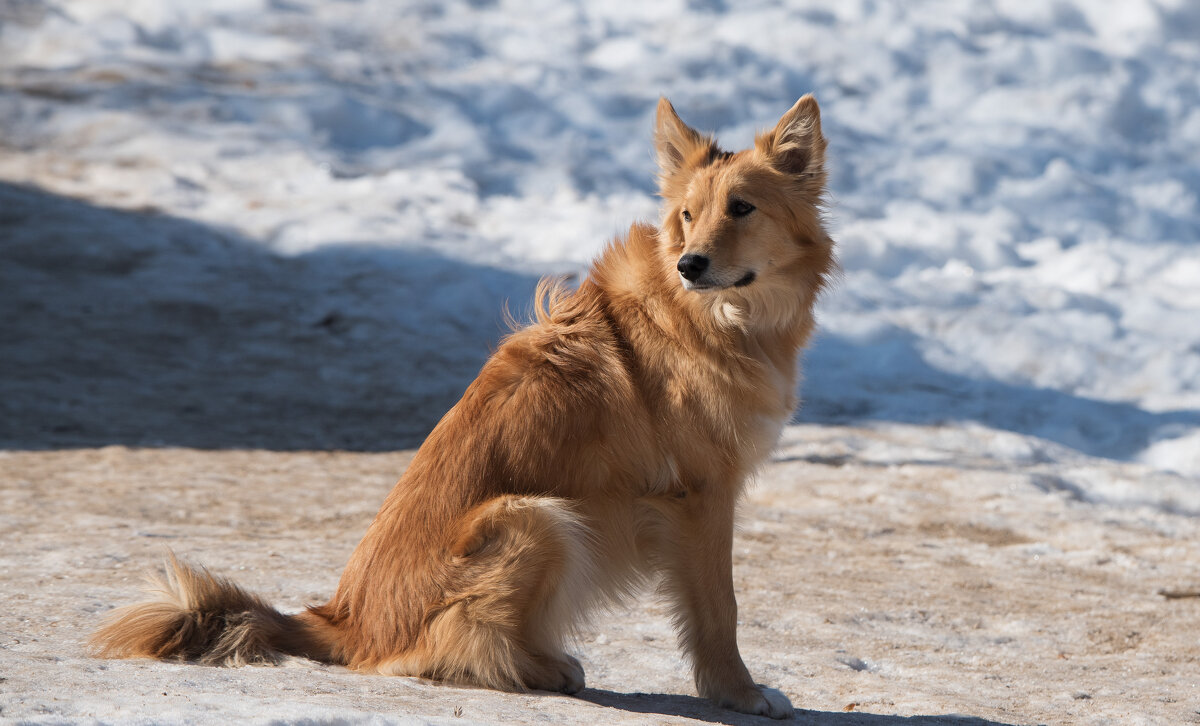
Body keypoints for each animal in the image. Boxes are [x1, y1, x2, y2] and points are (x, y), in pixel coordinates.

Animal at [91, 96, 835, 720]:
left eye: (741, 208)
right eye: (687, 214)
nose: (690, 264)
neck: (718, 317)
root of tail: (341, 621)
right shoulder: (702, 498)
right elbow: (720, 609)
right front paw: (739, 692)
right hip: (536, 519)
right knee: (448, 648)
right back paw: (536, 667)